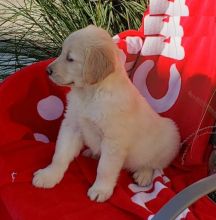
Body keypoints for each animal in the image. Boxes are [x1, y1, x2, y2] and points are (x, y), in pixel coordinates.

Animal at [32, 24, 181, 202]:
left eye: (70, 58)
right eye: (62, 52)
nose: (47, 70)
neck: (90, 94)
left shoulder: (113, 140)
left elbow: (105, 169)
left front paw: (101, 190)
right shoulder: (72, 125)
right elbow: (60, 154)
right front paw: (49, 175)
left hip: (169, 136)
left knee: (155, 163)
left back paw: (144, 174)